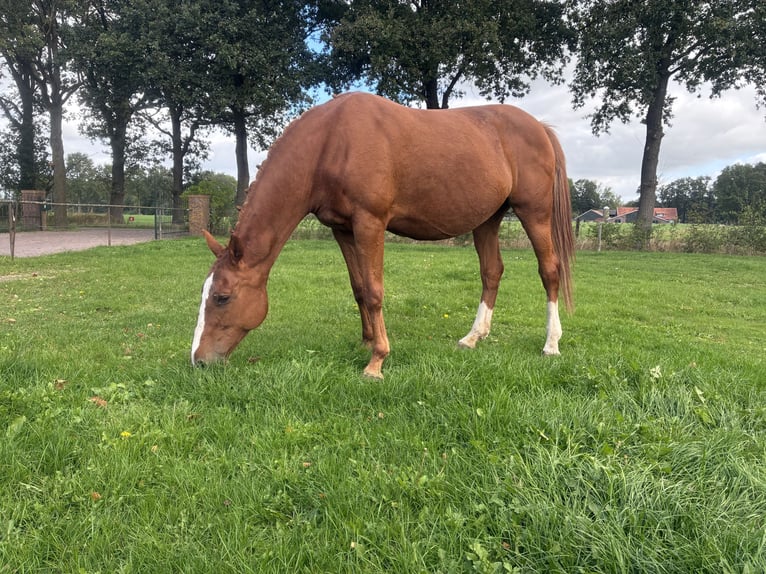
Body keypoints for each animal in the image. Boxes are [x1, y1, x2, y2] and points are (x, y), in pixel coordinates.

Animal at [192, 92, 574, 379]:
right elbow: (359, 287)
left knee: (549, 271)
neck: (331, 142)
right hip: (488, 219)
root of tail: (539, 128)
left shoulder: (370, 223)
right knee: (491, 272)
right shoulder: (343, 229)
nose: (199, 360)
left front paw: (376, 360)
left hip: (534, 213)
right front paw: (365, 341)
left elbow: (375, 292)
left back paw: (551, 344)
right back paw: (472, 338)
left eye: (222, 297)